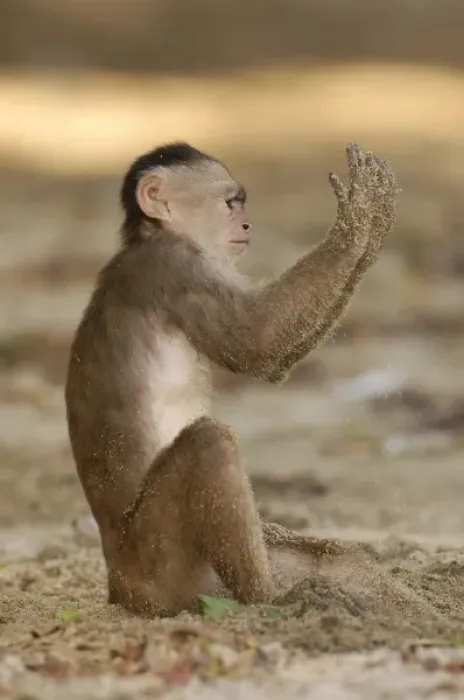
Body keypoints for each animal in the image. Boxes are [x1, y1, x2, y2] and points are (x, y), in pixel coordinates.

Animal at [65, 141, 397, 617]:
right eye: (230, 203)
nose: (246, 224)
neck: (153, 237)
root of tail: (119, 587)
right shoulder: (177, 266)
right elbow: (260, 344)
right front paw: (361, 221)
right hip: (157, 568)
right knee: (210, 441)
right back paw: (269, 601)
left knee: (341, 560)